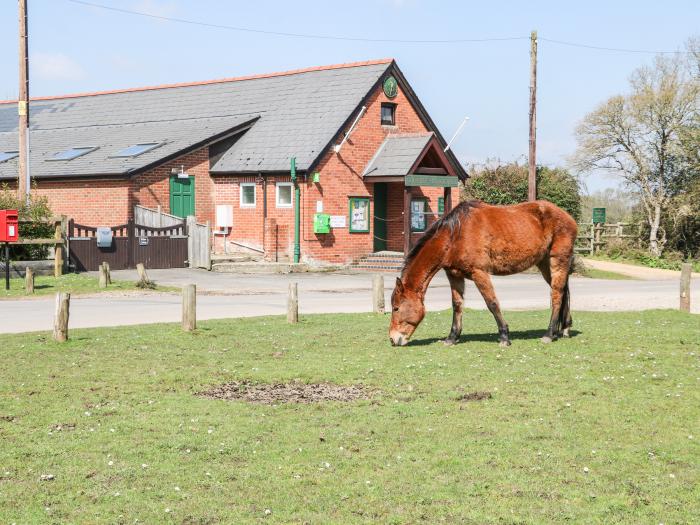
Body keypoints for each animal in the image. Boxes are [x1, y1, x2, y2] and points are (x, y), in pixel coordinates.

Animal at [392, 201, 576, 348]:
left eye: (396, 308)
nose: (393, 339)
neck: (455, 235)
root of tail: (568, 218)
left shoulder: (479, 273)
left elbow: (492, 303)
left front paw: (504, 336)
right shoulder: (454, 275)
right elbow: (457, 305)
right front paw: (452, 337)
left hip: (558, 260)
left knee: (557, 294)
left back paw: (549, 334)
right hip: (544, 263)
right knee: (563, 291)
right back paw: (564, 328)